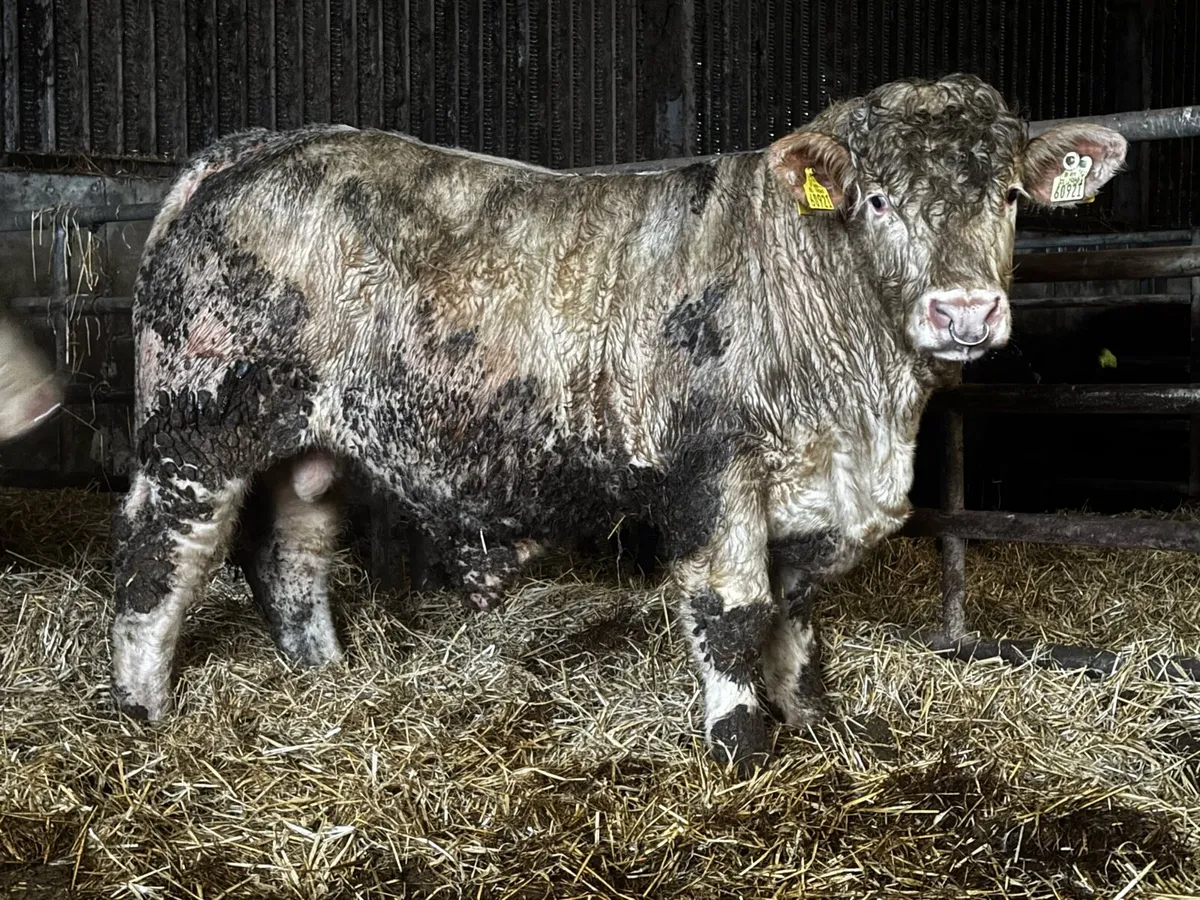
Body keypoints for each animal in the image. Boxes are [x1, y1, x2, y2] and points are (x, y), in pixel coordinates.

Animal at [109, 73, 1126, 772]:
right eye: (877, 199)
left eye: (1008, 197)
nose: (964, 311)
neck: (866, 417)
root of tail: (251, 150)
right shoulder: (713, 471)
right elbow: (734, 610)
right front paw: (742, 748)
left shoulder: (814, 495)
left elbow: (796, 612)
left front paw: (818, 722)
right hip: (197, 430)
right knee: (158, 561)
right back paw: (140, 716)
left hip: (311, 447)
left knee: (290, 556)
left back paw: (326, 677)